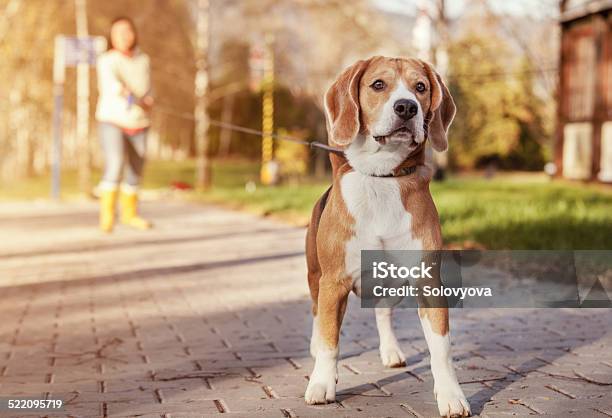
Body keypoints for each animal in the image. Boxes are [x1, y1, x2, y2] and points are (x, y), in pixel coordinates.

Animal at [306, 56, 474, 418]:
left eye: (420, 87)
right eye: (378, 85)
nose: (407, 107)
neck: (382, 177)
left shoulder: (428, 282)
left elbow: (441, 348)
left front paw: (451, 395)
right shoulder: (334, 282)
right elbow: (329, 341)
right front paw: (322, 383)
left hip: (391, 285)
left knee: (383, 314)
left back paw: (391, 350)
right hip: (315, 276)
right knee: (317, 314)